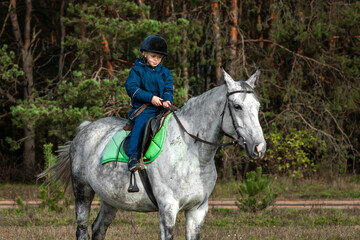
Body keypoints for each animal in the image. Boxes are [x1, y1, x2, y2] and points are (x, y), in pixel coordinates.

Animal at [40, 68, 268, 239]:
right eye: (237, 106)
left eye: (257, 106)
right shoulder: (168, 209)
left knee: (98, 229)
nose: (259, 148)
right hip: (82, 192)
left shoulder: (198, 210)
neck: (193, 156)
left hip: (110, 200)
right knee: (82, 230)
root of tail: (85, 128)